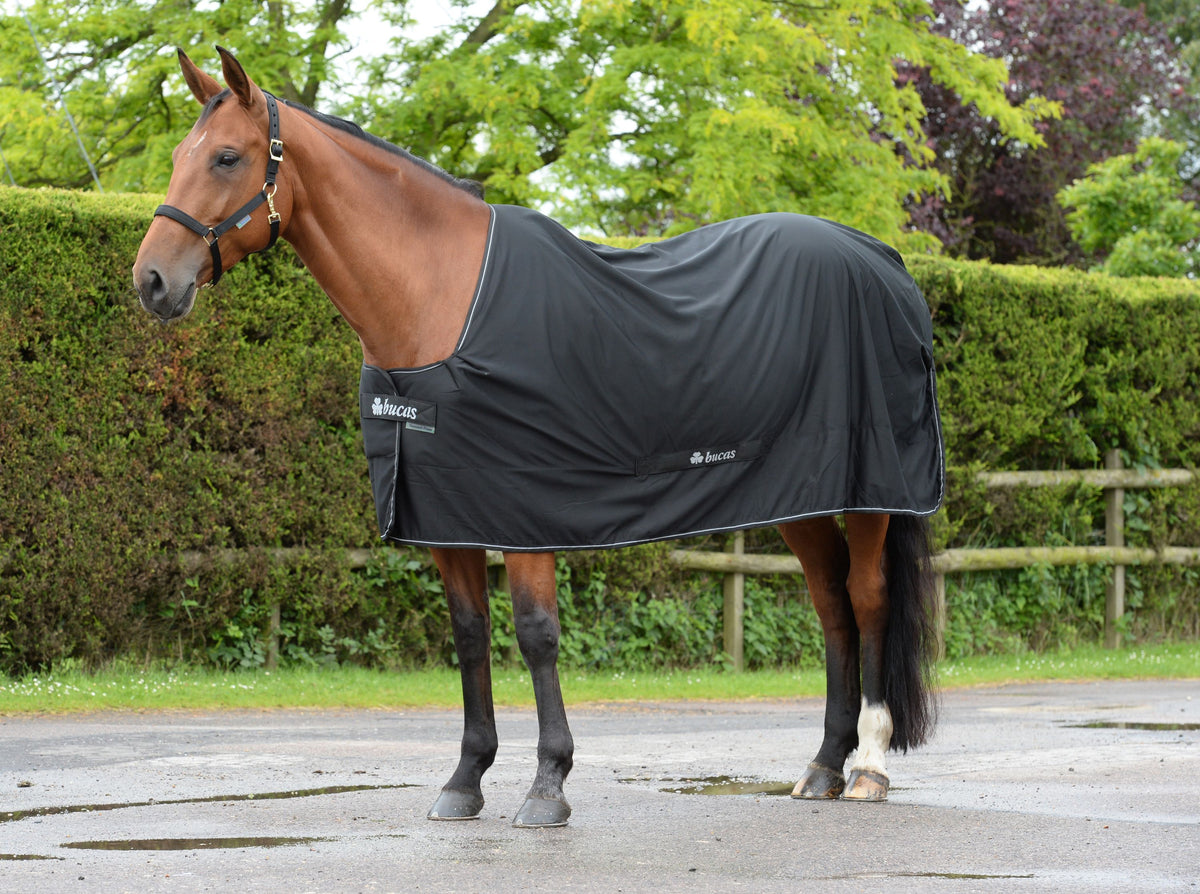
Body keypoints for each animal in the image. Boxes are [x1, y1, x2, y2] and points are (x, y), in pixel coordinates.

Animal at [133, 47, 943, 828]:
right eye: (177, 155)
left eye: (227, 157)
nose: (151, 281)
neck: (441, 303)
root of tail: (882, 260)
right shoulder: (447, 516)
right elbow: (468, 634)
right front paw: (465, 780)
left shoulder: (526, 510)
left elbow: (535, 633)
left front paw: (548, 785)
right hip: (799, 496)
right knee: (831, 606)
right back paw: (823, 767)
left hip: (873, 493)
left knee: (866, 599)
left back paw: (869, 769)